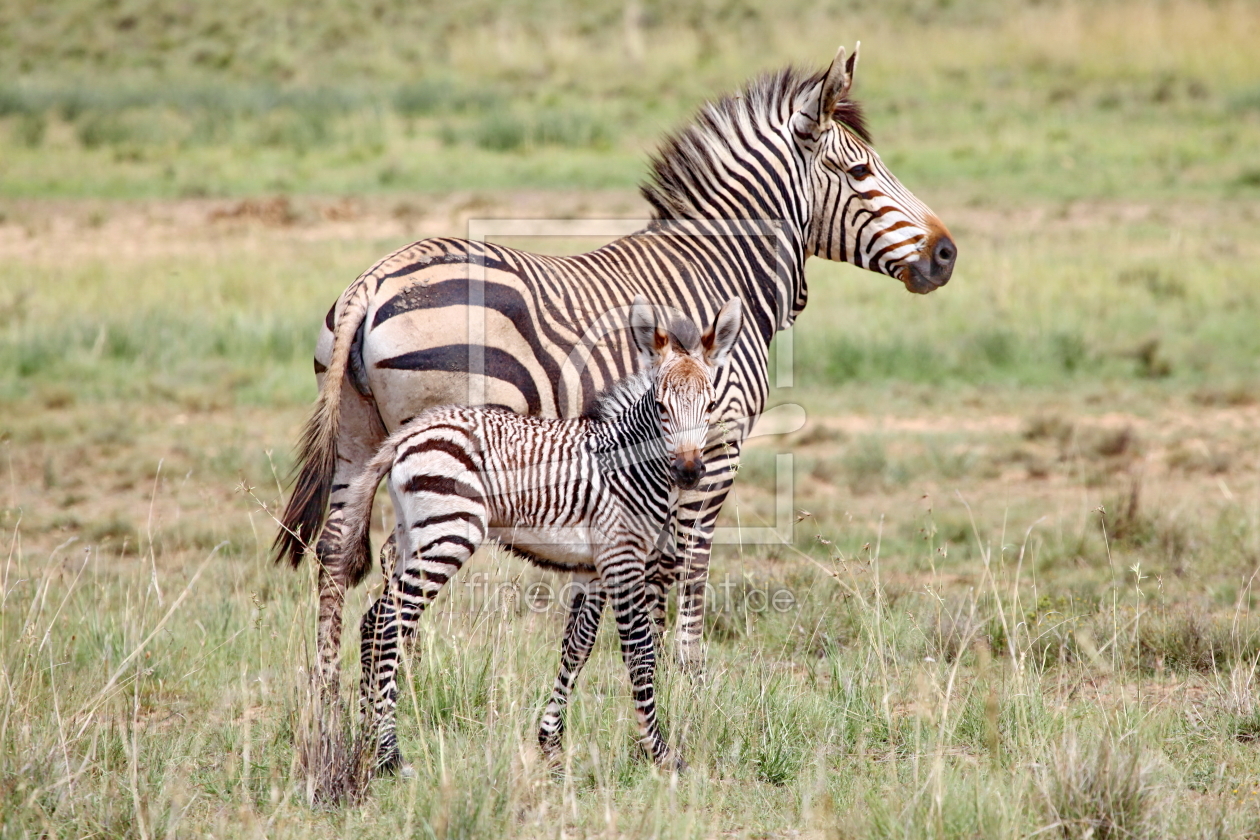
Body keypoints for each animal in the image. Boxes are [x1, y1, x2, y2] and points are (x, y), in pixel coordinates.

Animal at [278, 45, 952, 685]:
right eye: (861, 171)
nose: (946, 254)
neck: (722, 268)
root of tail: (375, 279)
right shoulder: (718, 440)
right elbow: (690, 558)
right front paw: (687, 674)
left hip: (359, 439)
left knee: (336, 555)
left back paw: (330, 693)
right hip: (438, 450)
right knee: (398, 570)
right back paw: (407, 690)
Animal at [340, 297, 740, 775]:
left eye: (710, 405)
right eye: (661, 406)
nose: (690, 472)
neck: (630, 464)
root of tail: (410, 433)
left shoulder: (593, 567)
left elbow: (577, 647)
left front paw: (551, 742)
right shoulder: (622, 558)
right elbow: (640, 652)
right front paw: (659, 753)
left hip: (413, 535)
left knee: (372, 621)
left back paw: (367, 741)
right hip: (448, 532)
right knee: (389, 623)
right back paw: (389, 755)